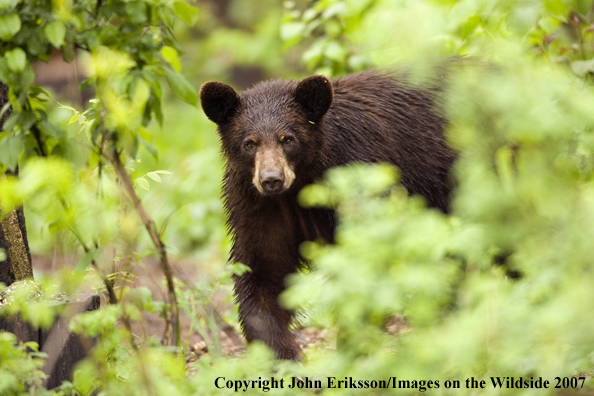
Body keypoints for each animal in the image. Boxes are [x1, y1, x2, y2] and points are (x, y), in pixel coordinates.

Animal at [199, 69, 454, 360]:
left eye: (288, 138)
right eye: (249, 143)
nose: (271, 179)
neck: (300, 185)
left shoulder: (359, 175)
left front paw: (353, 343)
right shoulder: (260, 206)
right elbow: (263, 267)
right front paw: (283, 354)